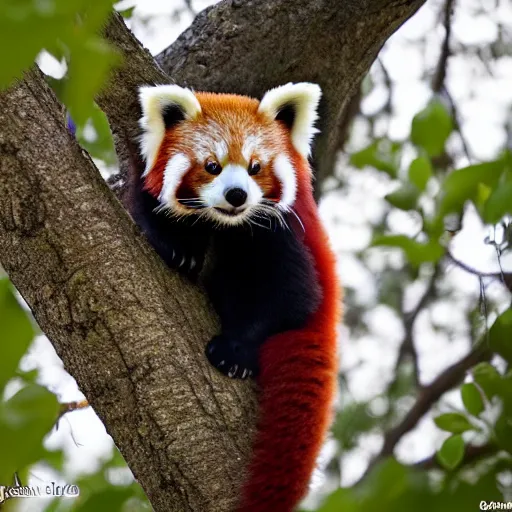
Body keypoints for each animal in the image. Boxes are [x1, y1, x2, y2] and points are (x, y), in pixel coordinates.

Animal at [130, 83, 342, 512]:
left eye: (255, 167)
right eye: (212, 166)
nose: (236, 194)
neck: (225, 223)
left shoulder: (280, 230)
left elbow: (292, 297)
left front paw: (235, 350)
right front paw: (179, 248)